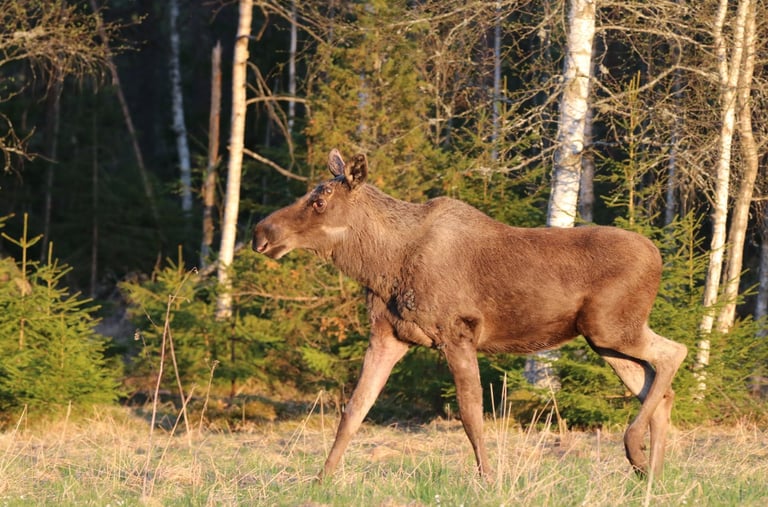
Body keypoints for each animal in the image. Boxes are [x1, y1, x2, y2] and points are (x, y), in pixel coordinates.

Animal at [253, 149, 688, 481]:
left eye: (320, 201)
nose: (261, 232)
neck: (381, 265)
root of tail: (660, 258)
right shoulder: (389, 335)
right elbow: (353, 410)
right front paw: (322, 479)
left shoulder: (456, 332)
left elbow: (470, 415)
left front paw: (488, 479)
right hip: (607, 341)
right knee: (658, 386)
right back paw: (652, 474)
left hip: (611, 327)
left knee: (674, 353)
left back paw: (636, 452)